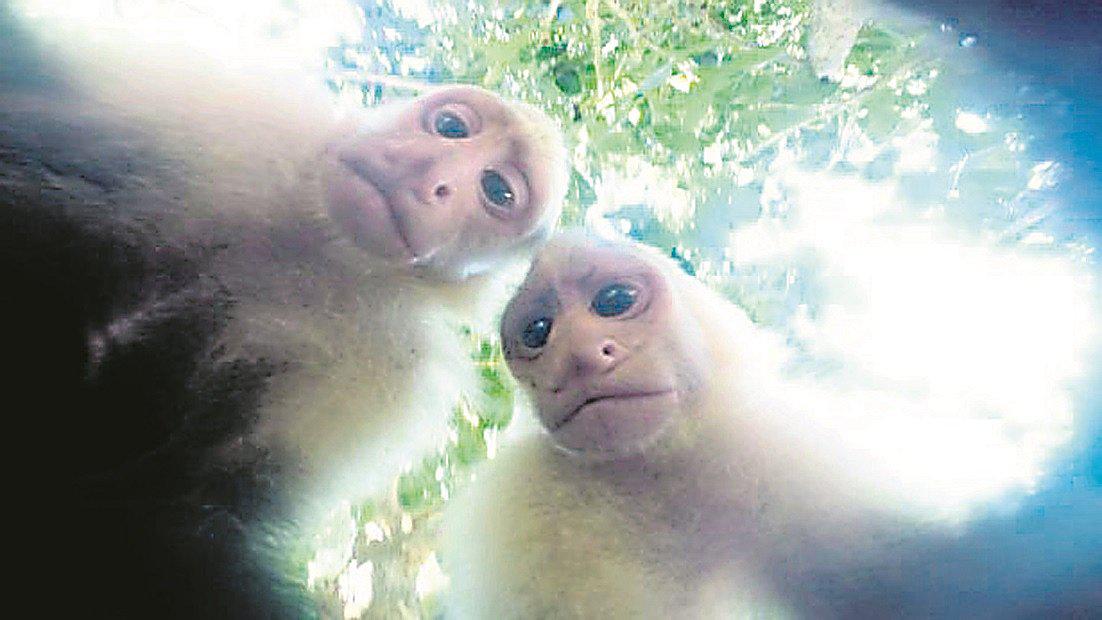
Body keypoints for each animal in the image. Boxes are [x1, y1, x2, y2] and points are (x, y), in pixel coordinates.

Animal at [1, 10, 568, 616]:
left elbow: (162, 512)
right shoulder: (248, 113)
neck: (314, 246)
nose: (429, 170)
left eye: (496, 190)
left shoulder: (383, 375)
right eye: (451, 128)